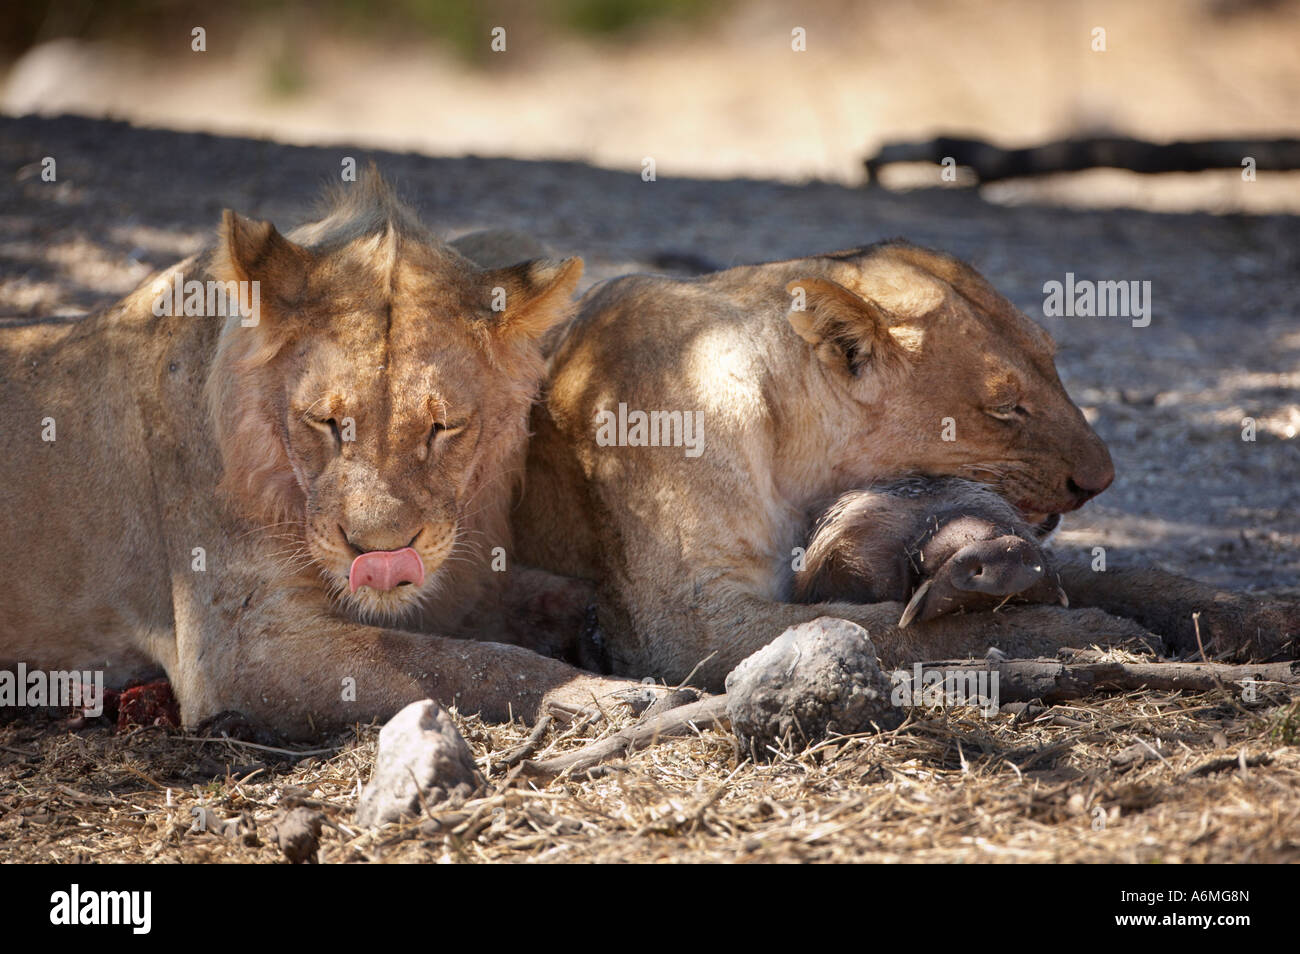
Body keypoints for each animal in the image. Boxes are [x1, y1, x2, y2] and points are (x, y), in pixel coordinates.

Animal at [0, 172, 652, 739]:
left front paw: (602, 631)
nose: (381, 557)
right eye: (328, 423)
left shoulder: (456, 581)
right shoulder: (243, 652)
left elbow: (543, 596)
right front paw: (605, 693)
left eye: (442, 427)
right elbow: (457, 663)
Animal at [514, 241, 1297, 688]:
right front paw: (1093, 638)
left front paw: (1258, 613)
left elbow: (1136, 576)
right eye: (1005, 407)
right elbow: (908, 628)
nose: (1100, 481)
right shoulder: (689, 624)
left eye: (1053, 361)